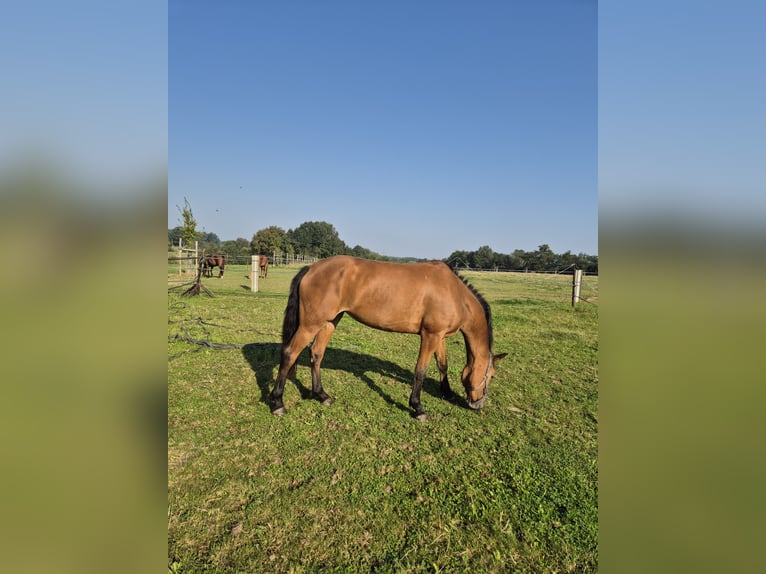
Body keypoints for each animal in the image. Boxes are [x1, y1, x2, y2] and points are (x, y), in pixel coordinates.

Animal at [272, 258, 508, 420]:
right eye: (492, 376)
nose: (478, 405)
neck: (455, 293)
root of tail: (311, 268)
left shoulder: (439, 336)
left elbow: (442, 364)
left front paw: (447, 393)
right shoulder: (430, 336)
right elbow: (420, 371)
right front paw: (418, 407)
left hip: (330, 321)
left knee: (316, 353)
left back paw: (321, 395)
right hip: (310, 324)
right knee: (290, 353)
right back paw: (277, 403)